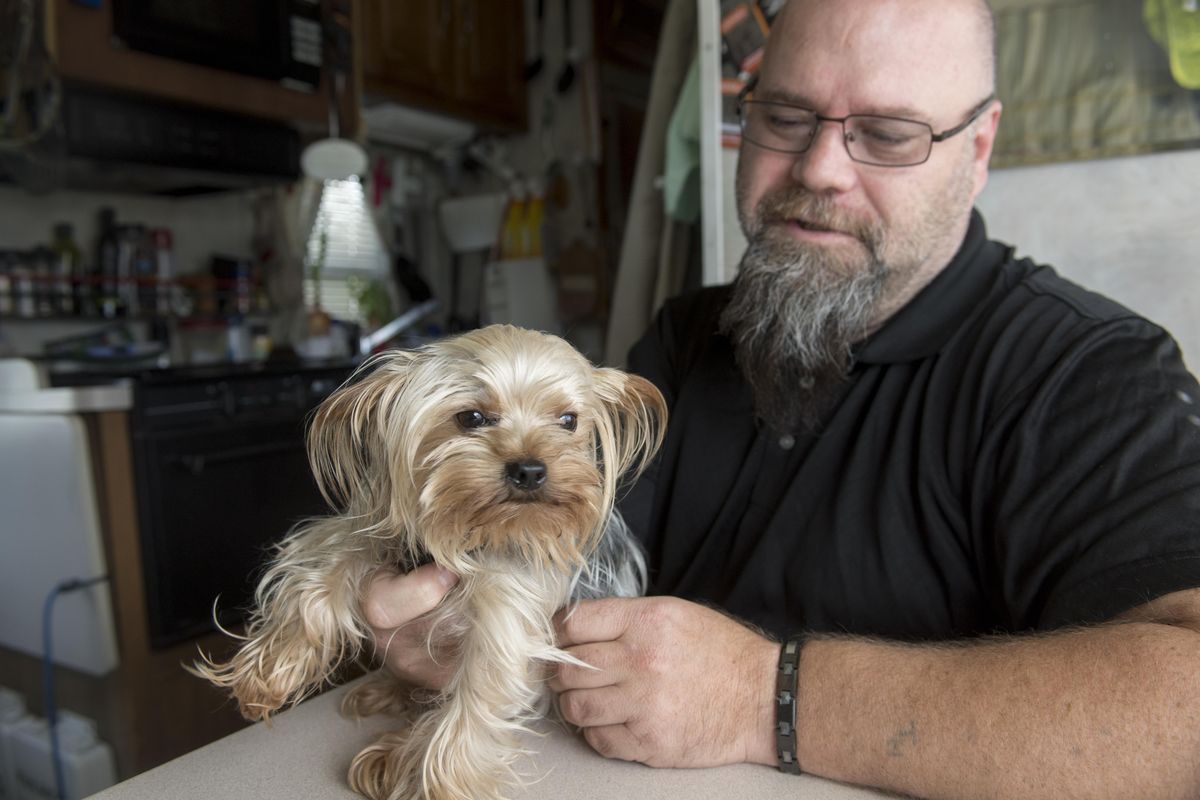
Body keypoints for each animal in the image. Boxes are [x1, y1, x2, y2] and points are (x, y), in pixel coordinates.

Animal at [192, 326, 672, 800]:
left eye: (568, 421)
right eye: (471, 418)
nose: (531, 470)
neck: (474, 532)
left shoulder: (510, 602)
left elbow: (481, 692)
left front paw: (435, 783)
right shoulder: (385, 532)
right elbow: (328, 562)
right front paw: (270, 671)